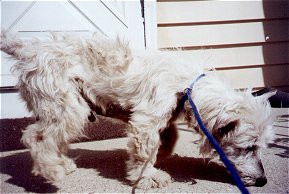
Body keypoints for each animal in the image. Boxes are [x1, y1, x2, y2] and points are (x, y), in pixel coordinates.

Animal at [0, 32, 274, 189]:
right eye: (249, 147)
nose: (263, 180)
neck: (188, 86)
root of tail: (29, 50)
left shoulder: (162, 115)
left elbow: (169, 135)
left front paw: (164, 152)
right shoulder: (146, 120)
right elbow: (144, 151)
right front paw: (149, 176)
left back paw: (61, 163)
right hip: (66, 106)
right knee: (35, 137)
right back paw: (52, 169)